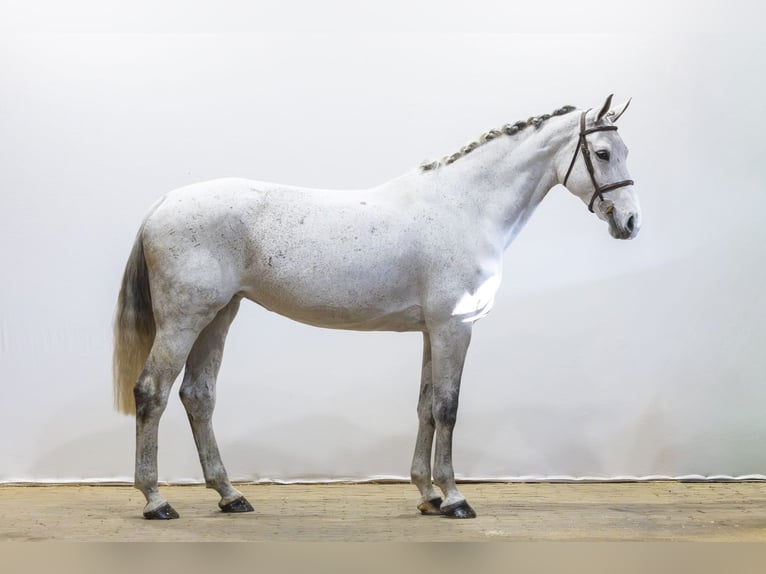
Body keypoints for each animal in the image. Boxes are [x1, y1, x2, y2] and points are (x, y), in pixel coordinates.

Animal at [113, 94, 640, 520]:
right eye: (602, 153)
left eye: (624, 152)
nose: (631, 222)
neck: (464, 207)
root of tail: (163, 204)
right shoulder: (454, 327)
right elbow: (448, 408)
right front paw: (455, 498)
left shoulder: (432, 330)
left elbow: (426, 406)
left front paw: (427, 495)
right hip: (184, 320)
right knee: (152, 392)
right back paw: (156, 500)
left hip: (219, 317)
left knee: (198, 396)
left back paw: (230, 495)